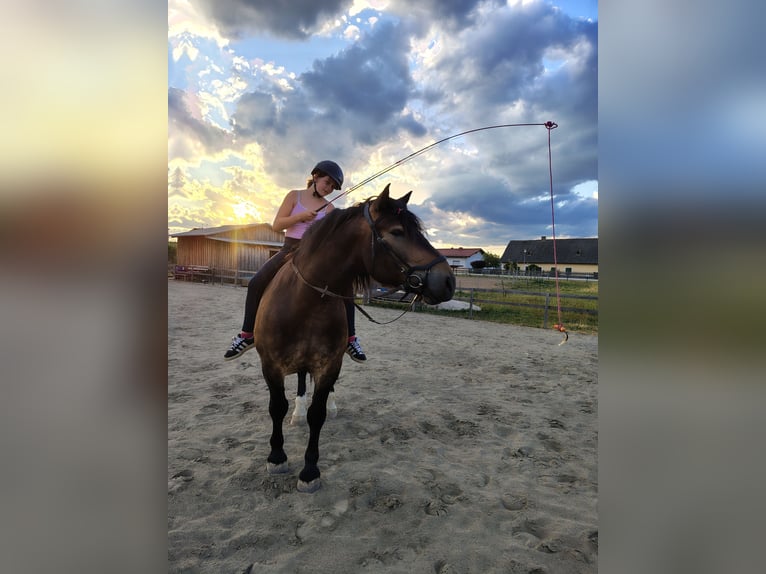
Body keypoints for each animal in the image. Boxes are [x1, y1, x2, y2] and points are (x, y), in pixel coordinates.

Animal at [254, 184, 456, 492]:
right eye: (397, 231)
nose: (448, 281)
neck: (306, 301)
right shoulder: (270, 366)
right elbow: (277, 407)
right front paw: (277, 457)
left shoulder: (329, 365)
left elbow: (318, 414)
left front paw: (309, 471)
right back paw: (296, 412)